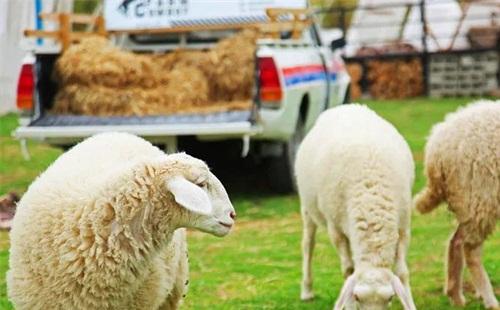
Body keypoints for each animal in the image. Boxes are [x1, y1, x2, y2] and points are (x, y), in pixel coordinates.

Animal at [294, 104, 416, 310]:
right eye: (357, 297)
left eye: (390, 297)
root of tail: (346, 106)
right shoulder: (335, 229)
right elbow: (348, 270)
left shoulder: (403, 226)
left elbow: (402, 272)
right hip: (308, 207)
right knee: (308, 244)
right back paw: (306, 290)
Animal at [414, 100, 500, 308]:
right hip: (481, 196)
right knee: (470, 249)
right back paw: (490, 300)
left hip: (468, 201)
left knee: (456, 241)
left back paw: (455, 295)